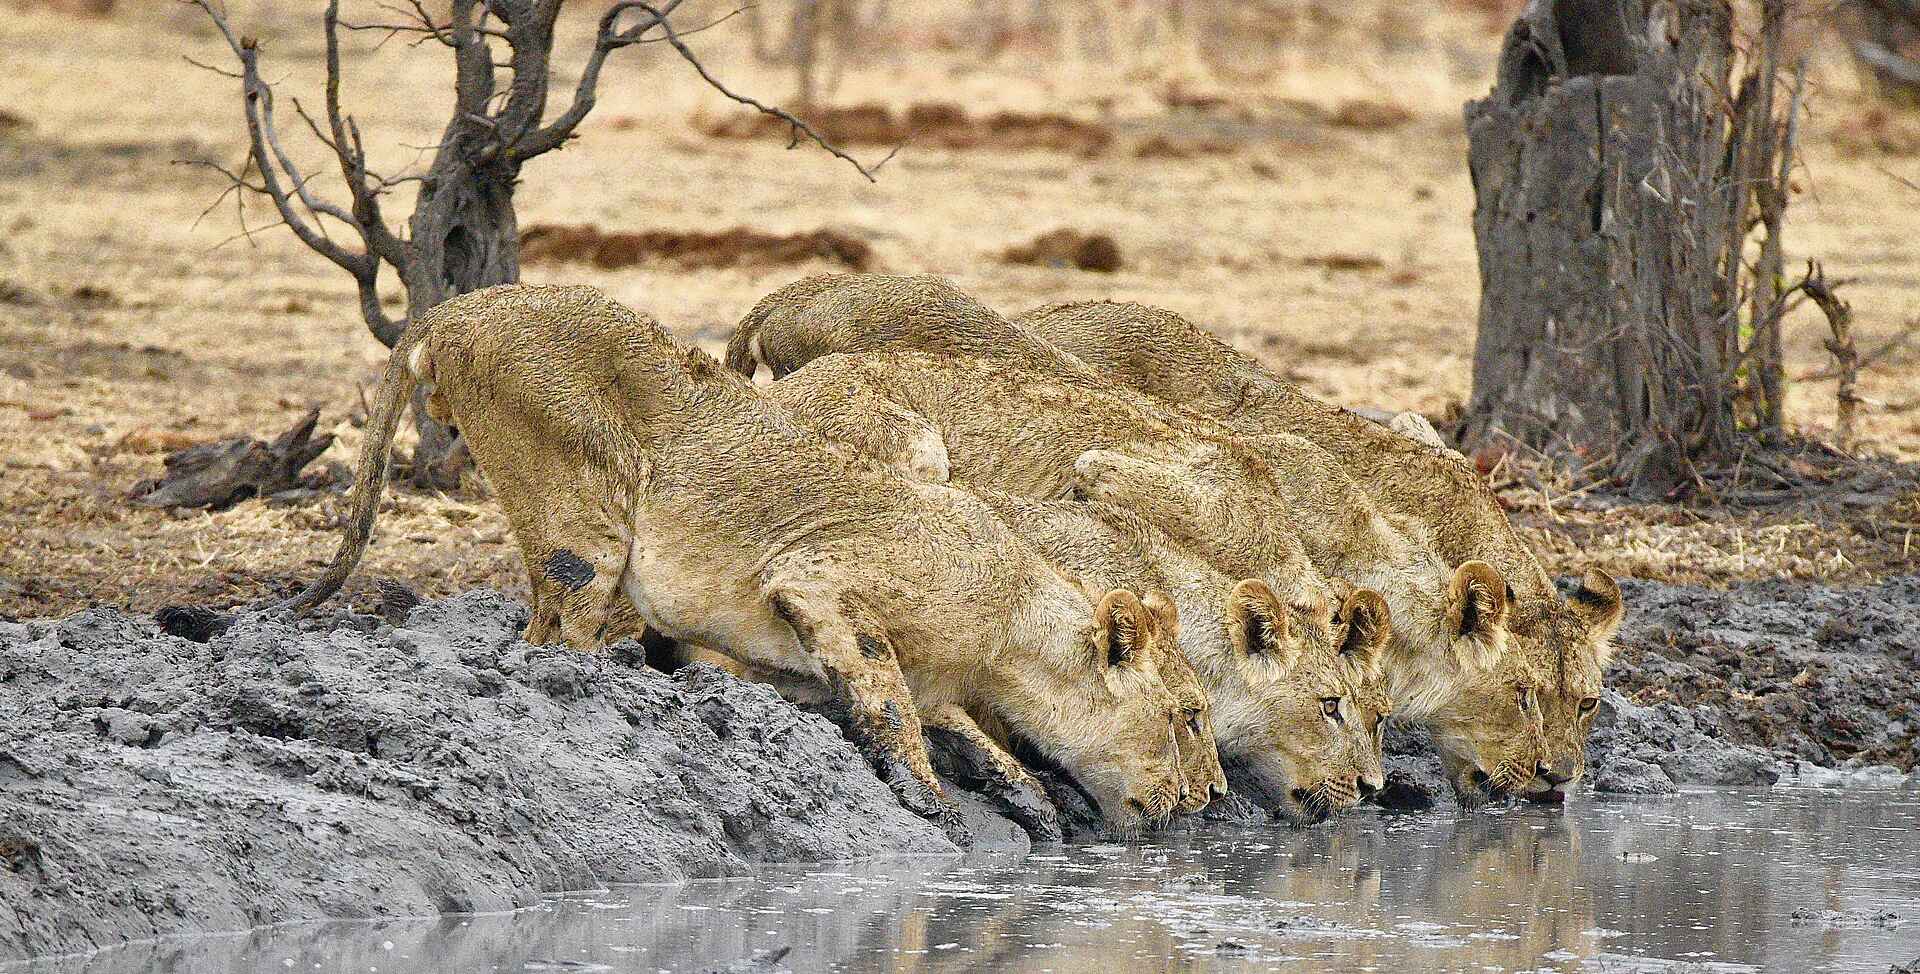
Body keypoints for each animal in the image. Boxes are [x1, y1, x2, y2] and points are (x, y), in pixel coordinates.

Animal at [278, 284, 1220, 841]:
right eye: (1188, 716)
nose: (1199, 803)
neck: (1014, 631)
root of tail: (460, 305)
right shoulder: (816, 578)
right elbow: (892, 702)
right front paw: (932, 803)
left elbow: (941, 715)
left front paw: (1025, 789)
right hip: (582, 505)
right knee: (552, 636)